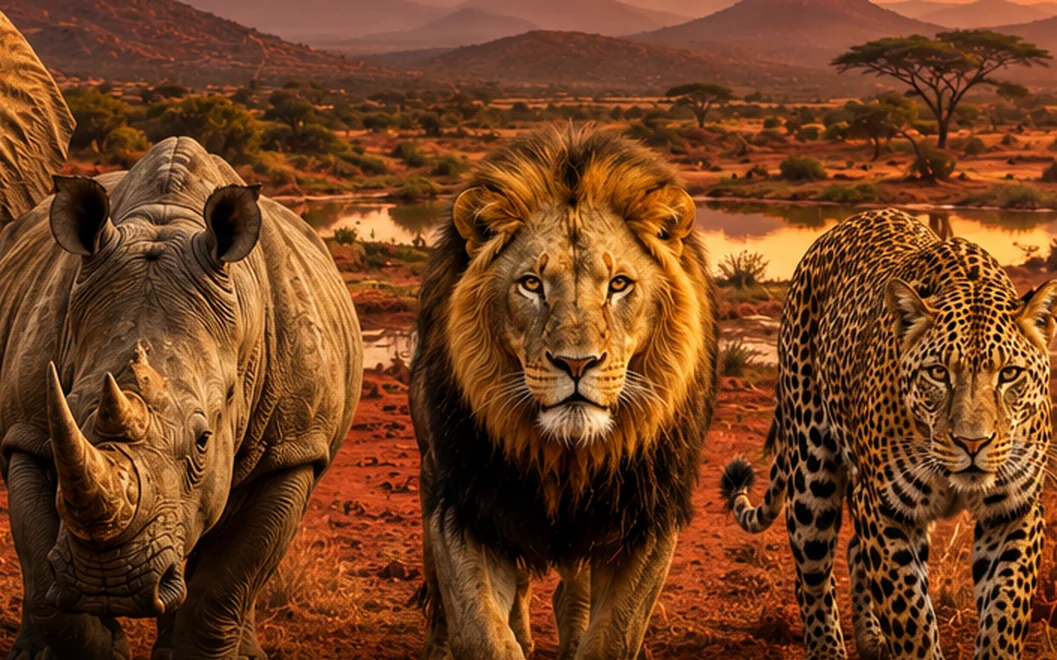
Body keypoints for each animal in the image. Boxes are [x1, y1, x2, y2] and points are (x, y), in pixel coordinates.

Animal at [0, 18, 363, 659]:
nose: (111, 583)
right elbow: (47, 576)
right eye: (65, 409)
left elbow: (225, 586)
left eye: (202, 440)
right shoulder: (28, 433)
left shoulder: (295, 448)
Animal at [410, 125, 718, 660]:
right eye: (532, 284)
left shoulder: (648, 518)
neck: (567, 455)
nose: (577, 364)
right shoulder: (467, 503)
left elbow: (615, 634)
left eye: (619, 284)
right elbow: (479, 628)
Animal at [721, 208, 1057, 659]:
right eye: (938, 373)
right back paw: (830, 648)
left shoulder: (1014, 511)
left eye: (1009, 375)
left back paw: (871, 639)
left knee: (853, 550)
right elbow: (911, 619)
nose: (972, 444)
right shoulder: (885, 510)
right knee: (812, 577)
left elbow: (1005, 614)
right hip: (811, 471)